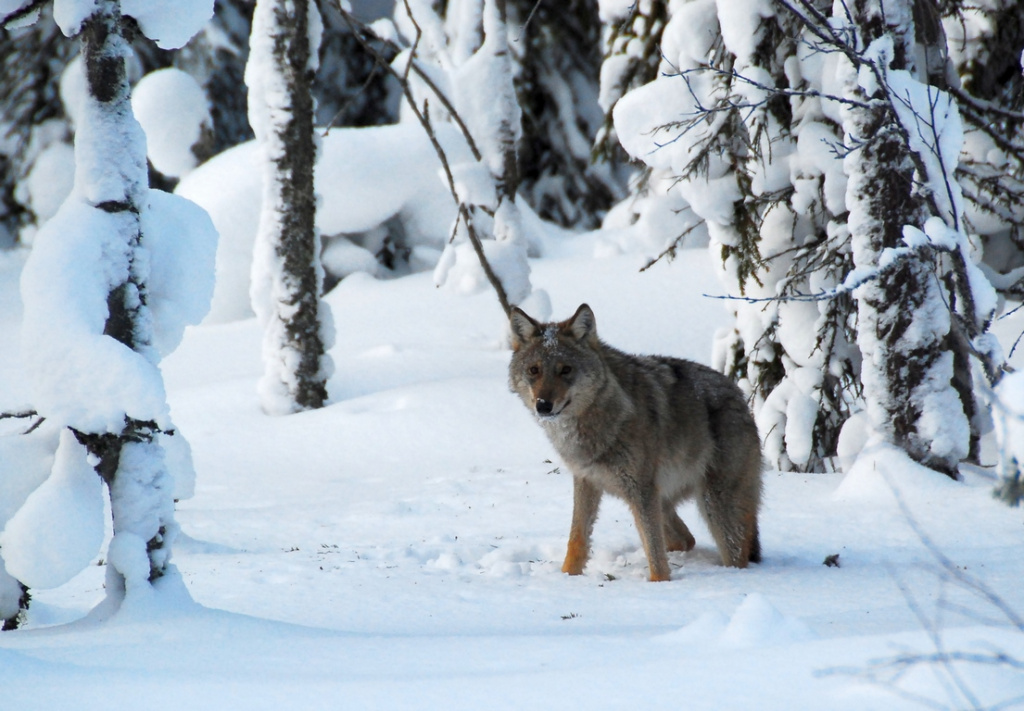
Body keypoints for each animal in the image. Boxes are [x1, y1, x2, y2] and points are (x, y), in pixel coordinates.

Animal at [508, 304, 762, 582]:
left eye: (566, 370)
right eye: (534, 370)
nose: (543, 405)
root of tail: (740, 396)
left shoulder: (640, 490)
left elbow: (655, 552)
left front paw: (659, 584)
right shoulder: (586, 481)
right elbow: (577, 539)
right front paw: (567, 578)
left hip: (711, 505)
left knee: (734, 555)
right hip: (661, 500)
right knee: (686, 539)